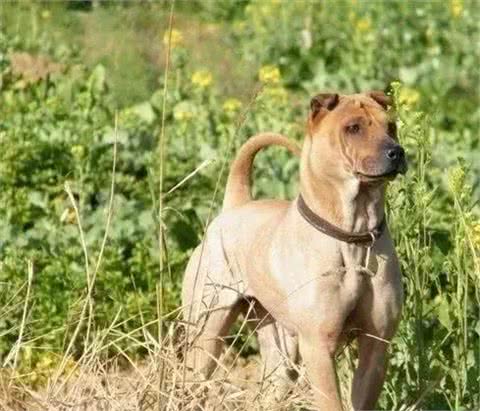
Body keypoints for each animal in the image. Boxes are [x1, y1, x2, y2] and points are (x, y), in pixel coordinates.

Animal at [182, 91, 406, 410]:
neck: (353, 236)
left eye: (391, 127)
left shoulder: (377, 345)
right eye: (353, 128)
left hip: (280, 350)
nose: (396, 152)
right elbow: (331, 402)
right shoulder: (318, 345)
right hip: (206, 330)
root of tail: (235, 206)